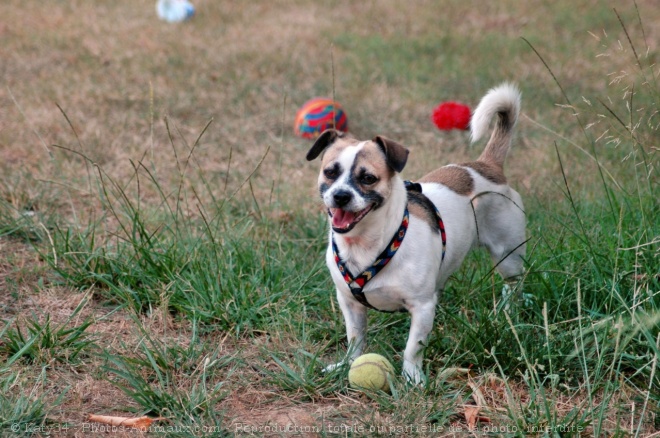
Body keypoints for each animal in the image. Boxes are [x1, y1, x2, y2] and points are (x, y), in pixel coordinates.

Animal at [306, 82, 528, 384]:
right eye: (330, 172)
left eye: (368, 178)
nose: (340, 196)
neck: (367, 244)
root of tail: (487, 165)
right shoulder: (350, 304)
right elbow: (355, 338)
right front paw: (347, 365)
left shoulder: (421, 307)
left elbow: (413, 346)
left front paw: (412, 378)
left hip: (509, 256)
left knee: (513, 286)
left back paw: (508, 314)